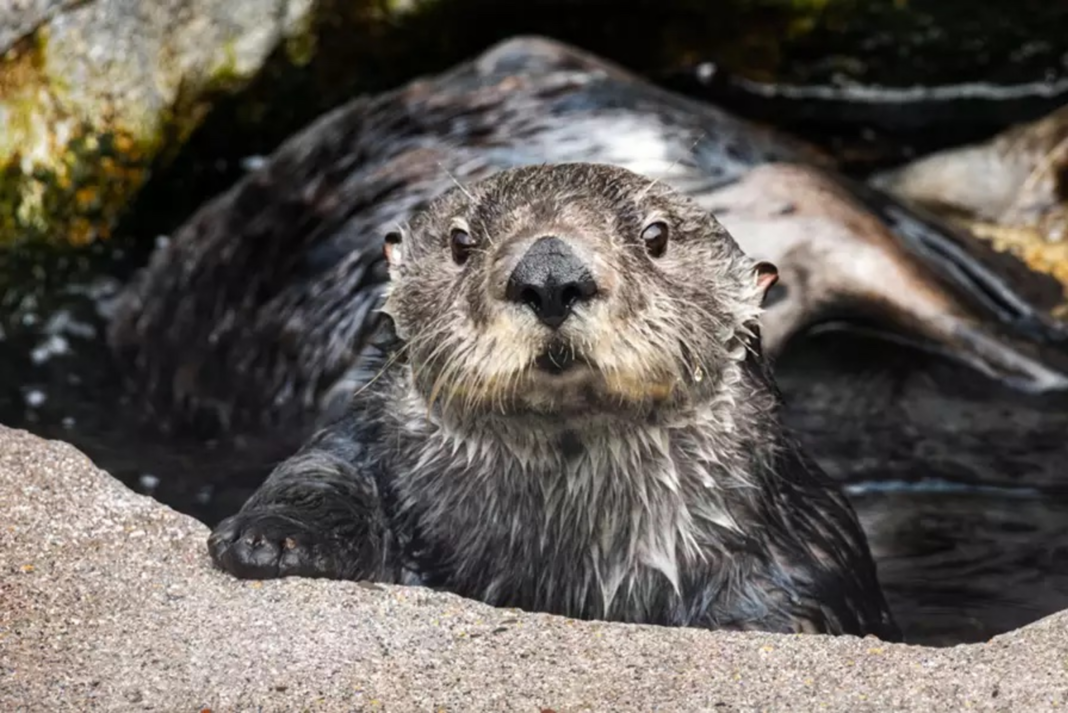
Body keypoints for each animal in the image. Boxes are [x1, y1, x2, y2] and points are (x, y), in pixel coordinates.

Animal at [207, 162, 902, 641]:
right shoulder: (360, 448)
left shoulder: (802, 548)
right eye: (461, 242)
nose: (548, 273)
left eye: (656, 236)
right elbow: (320, 470)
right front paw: (274, 542)